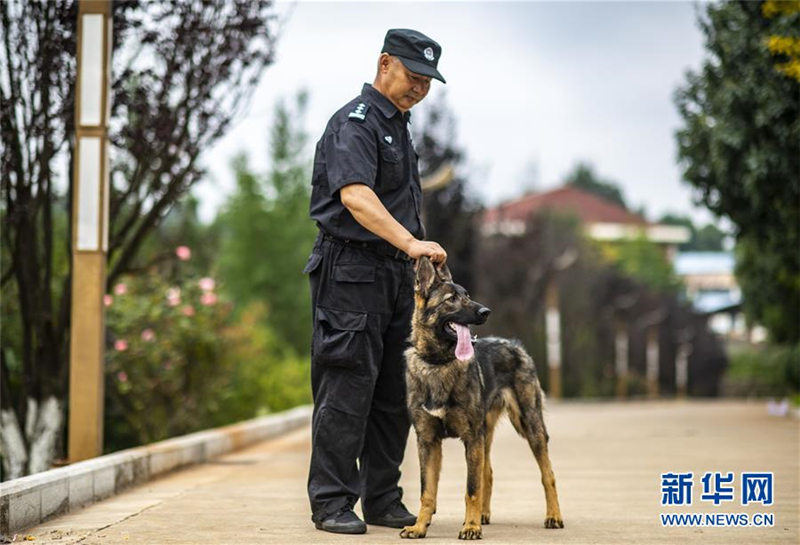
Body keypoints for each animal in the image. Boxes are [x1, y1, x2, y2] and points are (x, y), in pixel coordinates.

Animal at [400, 258, 564, 536]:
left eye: (467, 295)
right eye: (451, 299)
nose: (486, 312)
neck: (439, 362)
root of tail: (514, 344)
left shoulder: (470, 438)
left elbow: (471, 489)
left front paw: (470, 526)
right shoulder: (428, 441)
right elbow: (427, 492)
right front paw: (420, 527)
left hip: (529, 427)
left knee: (547, 474)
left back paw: (553, 515)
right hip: (485, 435)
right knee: (488, 471)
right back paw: (484, 515)